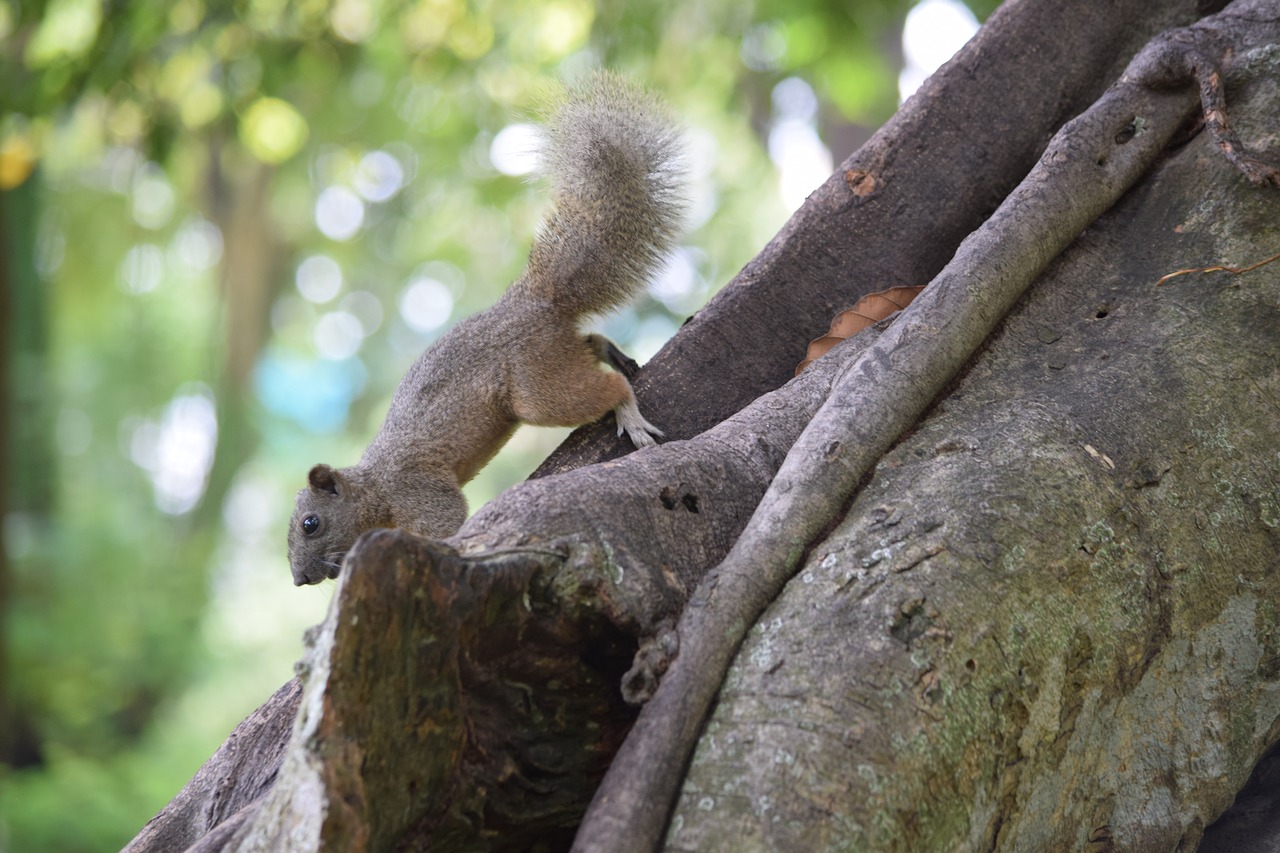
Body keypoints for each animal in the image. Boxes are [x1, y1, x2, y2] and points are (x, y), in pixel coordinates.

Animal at [286, 74, 686, 584]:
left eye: (311, 523)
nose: (300, 579)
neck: (373, 490)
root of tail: (532, 300)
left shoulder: (417, 491)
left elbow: (447, 524)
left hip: (536, 386)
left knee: (606, 387)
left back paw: (628, 413)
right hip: (552, 356)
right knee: (589, 342)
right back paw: (612, 352)